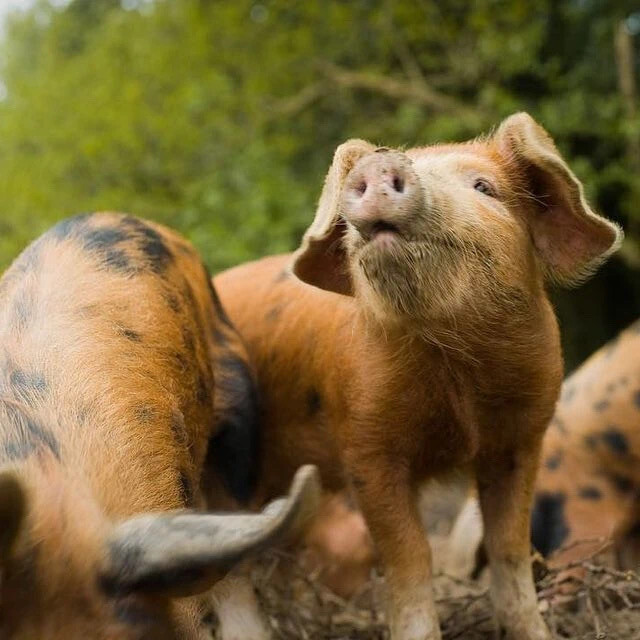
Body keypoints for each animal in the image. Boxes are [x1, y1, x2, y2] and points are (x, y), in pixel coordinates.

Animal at [214, 115, 620, 640]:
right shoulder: (367, 449)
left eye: (484, 187)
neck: (458, 375)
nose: (380, 161)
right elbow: (410, 558)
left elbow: (510, 551)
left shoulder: (521, 439)